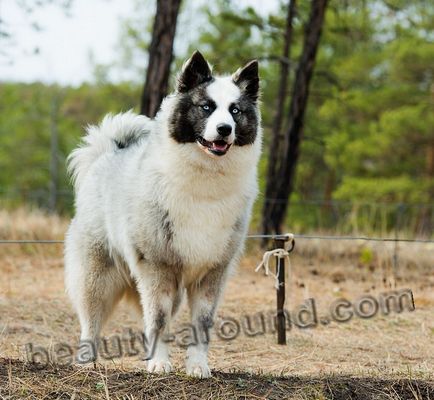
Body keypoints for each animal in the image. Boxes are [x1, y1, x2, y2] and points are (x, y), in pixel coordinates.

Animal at [64, 50, 262, 378]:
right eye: (206, 107)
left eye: (235, 111)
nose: (225, 129)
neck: (205, 181)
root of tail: (110, 152)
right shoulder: (158, 268)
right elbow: (157, 319)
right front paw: (158, 363)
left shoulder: (212, 274)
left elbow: (201, 325)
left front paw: (197, 366)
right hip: (97, 275)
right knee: (90, 322)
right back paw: (85, 362)